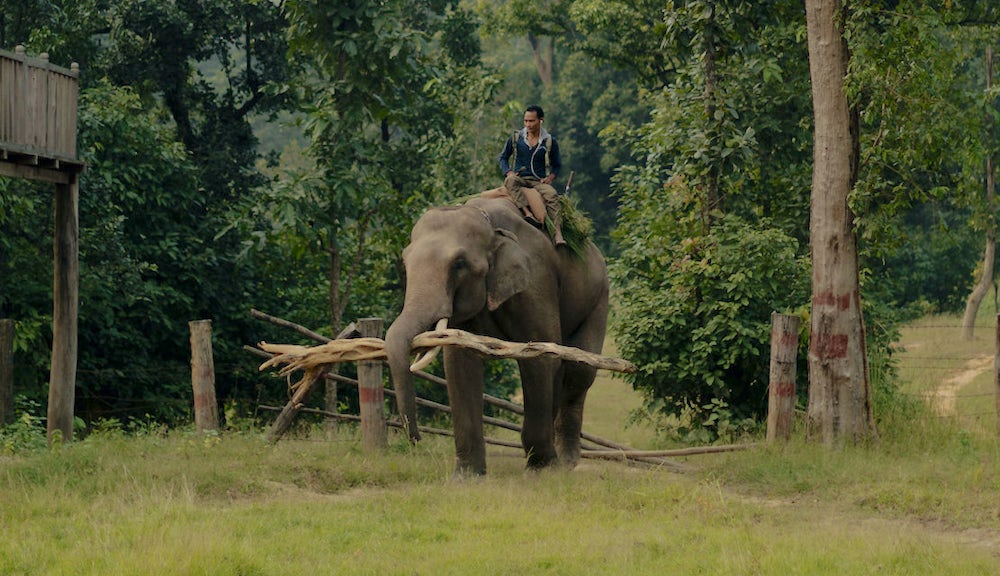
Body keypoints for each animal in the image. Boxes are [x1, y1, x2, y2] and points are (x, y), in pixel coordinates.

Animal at [384, 196, 608, 474]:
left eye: (459, 264)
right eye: (405, 263)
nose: (415, 438)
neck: (487, 223)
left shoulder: (536, 283)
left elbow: (540, 357)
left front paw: (541, 469)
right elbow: (459, 363)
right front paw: (467, 475)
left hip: (598, 296)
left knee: (579, 371)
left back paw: (567, 463)